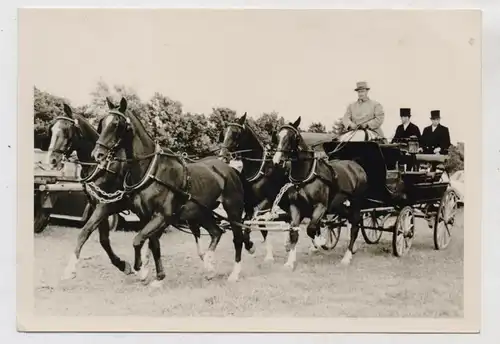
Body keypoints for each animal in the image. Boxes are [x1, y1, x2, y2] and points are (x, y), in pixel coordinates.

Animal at [91, 97, 252, 284]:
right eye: (102, 122)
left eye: (116, 124)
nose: (97, 154)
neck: (152, 171)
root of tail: (230, 169)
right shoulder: (146, 216)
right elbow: (152, 243)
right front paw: (157, 276)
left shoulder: (162, 216)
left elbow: (138, 240)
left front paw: (140, 267)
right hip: (201, 212)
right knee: (216, 232)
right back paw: (209, 266)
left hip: (233, 210)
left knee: (237, 238)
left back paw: (234, 273)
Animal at [218, 113, 290, 260]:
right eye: (224, 132)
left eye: (235, 133)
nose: (222, 157)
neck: (258, 169)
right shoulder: (249, 205)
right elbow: (249, 223)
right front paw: (251, 246)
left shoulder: (267, 201)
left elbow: (253, 222)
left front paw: (251, 246)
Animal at [272, 117, 370, 268]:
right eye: (278, 136)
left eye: (292, 137)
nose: (277, 161)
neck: (306, 176)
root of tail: (356, 165)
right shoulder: (296, 207)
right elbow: (294, 232)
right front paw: (290, 261)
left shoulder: (320, 206)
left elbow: (311, 228)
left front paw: (319, 242)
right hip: (339, 206)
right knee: (351, 221)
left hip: (356, 204)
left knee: (354, 225)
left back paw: (347, 256)